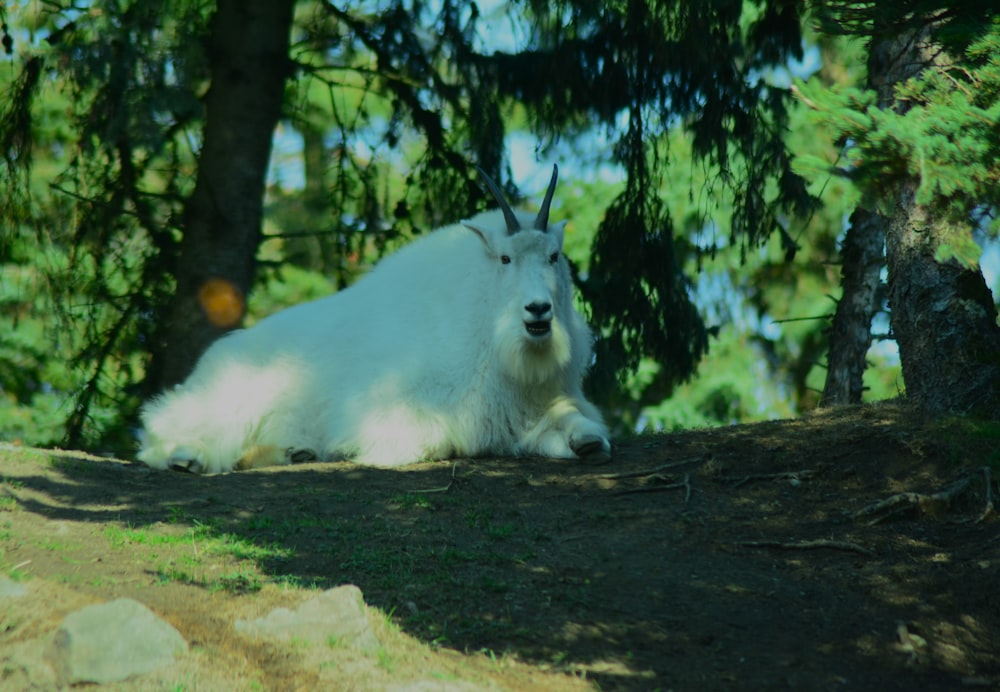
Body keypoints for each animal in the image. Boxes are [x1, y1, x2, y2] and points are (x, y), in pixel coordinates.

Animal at [138, 165, 612, 474]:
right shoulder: (404, 415)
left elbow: (570, 420)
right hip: (227, 401)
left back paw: (294, 453)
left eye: (554, 256)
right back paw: (186, 457)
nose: (538, 311)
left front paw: (589, 442)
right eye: (505, 258)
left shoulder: (538, 403)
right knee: (164, 428)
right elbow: (439, 438)